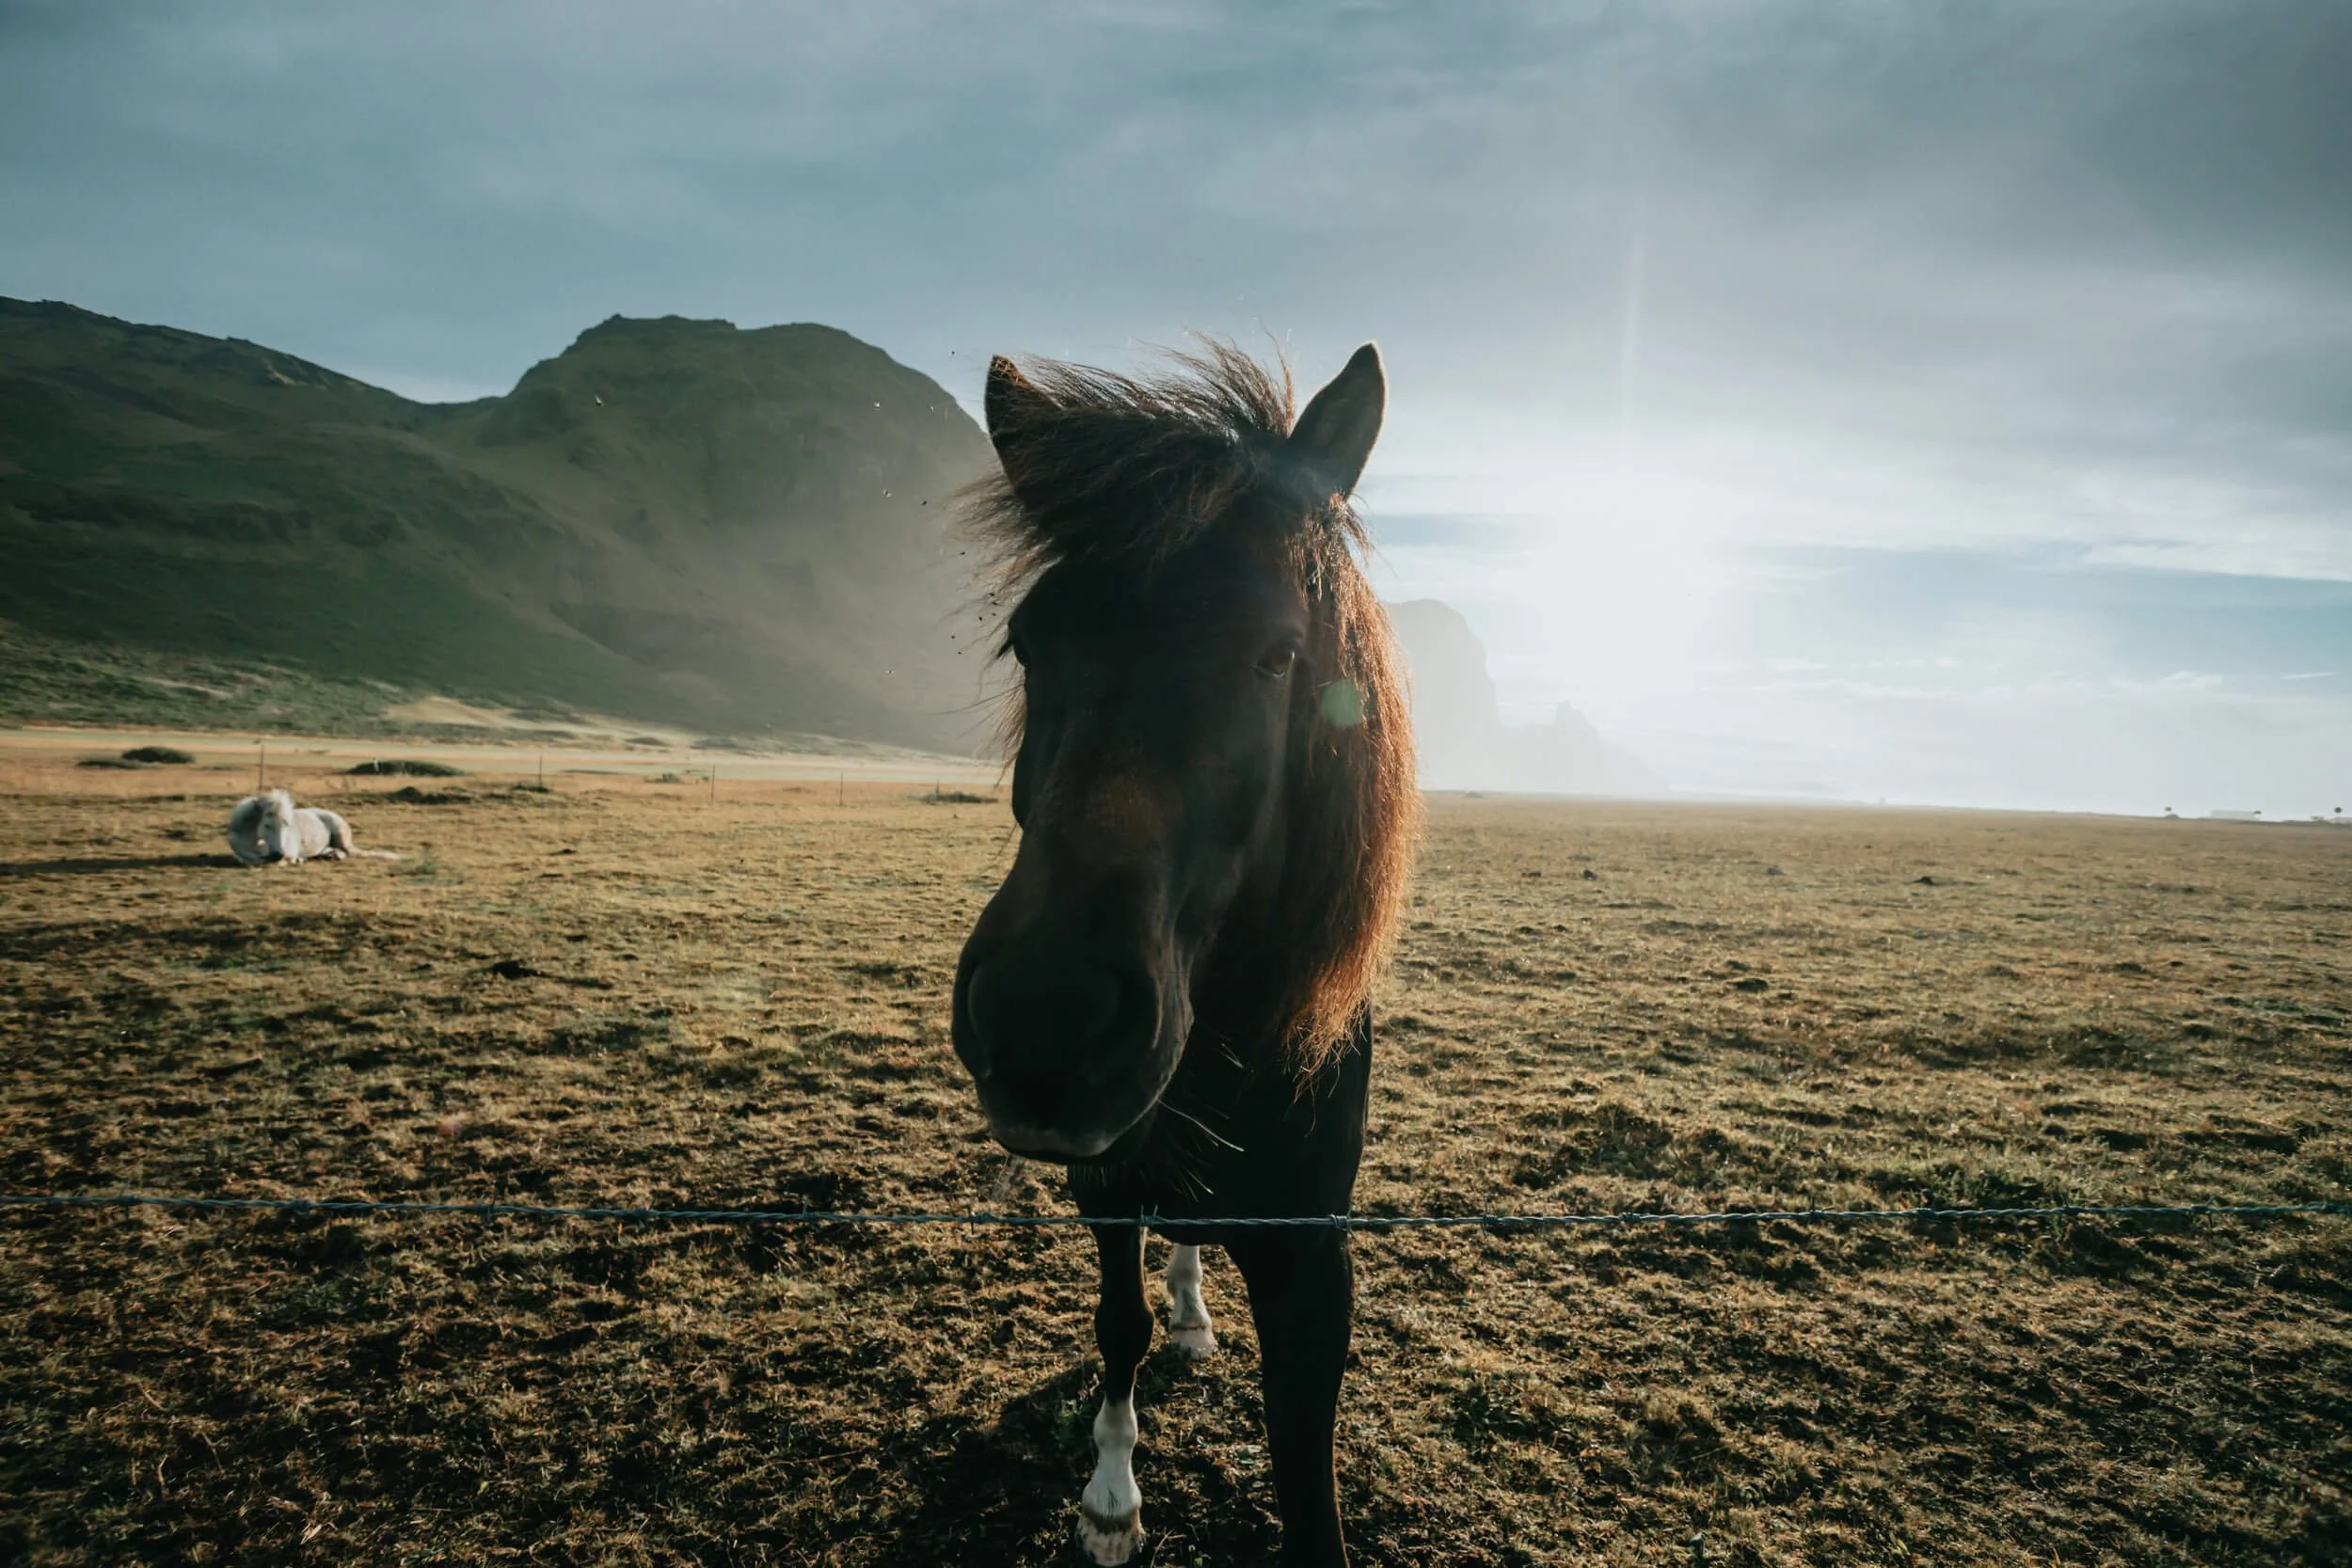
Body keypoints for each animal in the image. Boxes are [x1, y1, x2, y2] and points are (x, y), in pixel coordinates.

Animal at [226, 788, 395, 865]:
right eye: (267, 825)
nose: (279, 854)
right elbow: (249, 859)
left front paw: (295, 860)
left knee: (347, 852)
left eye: (287, 825)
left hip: (340, 836)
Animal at [952, 340, 1417, 1566]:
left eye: (1278, 653)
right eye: (1029, 641)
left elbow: (1306, 1467)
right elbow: (1116, 1324)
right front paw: (1111, 1499)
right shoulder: (1104, 1185)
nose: (1044, 1020)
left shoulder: (1312, 1262)